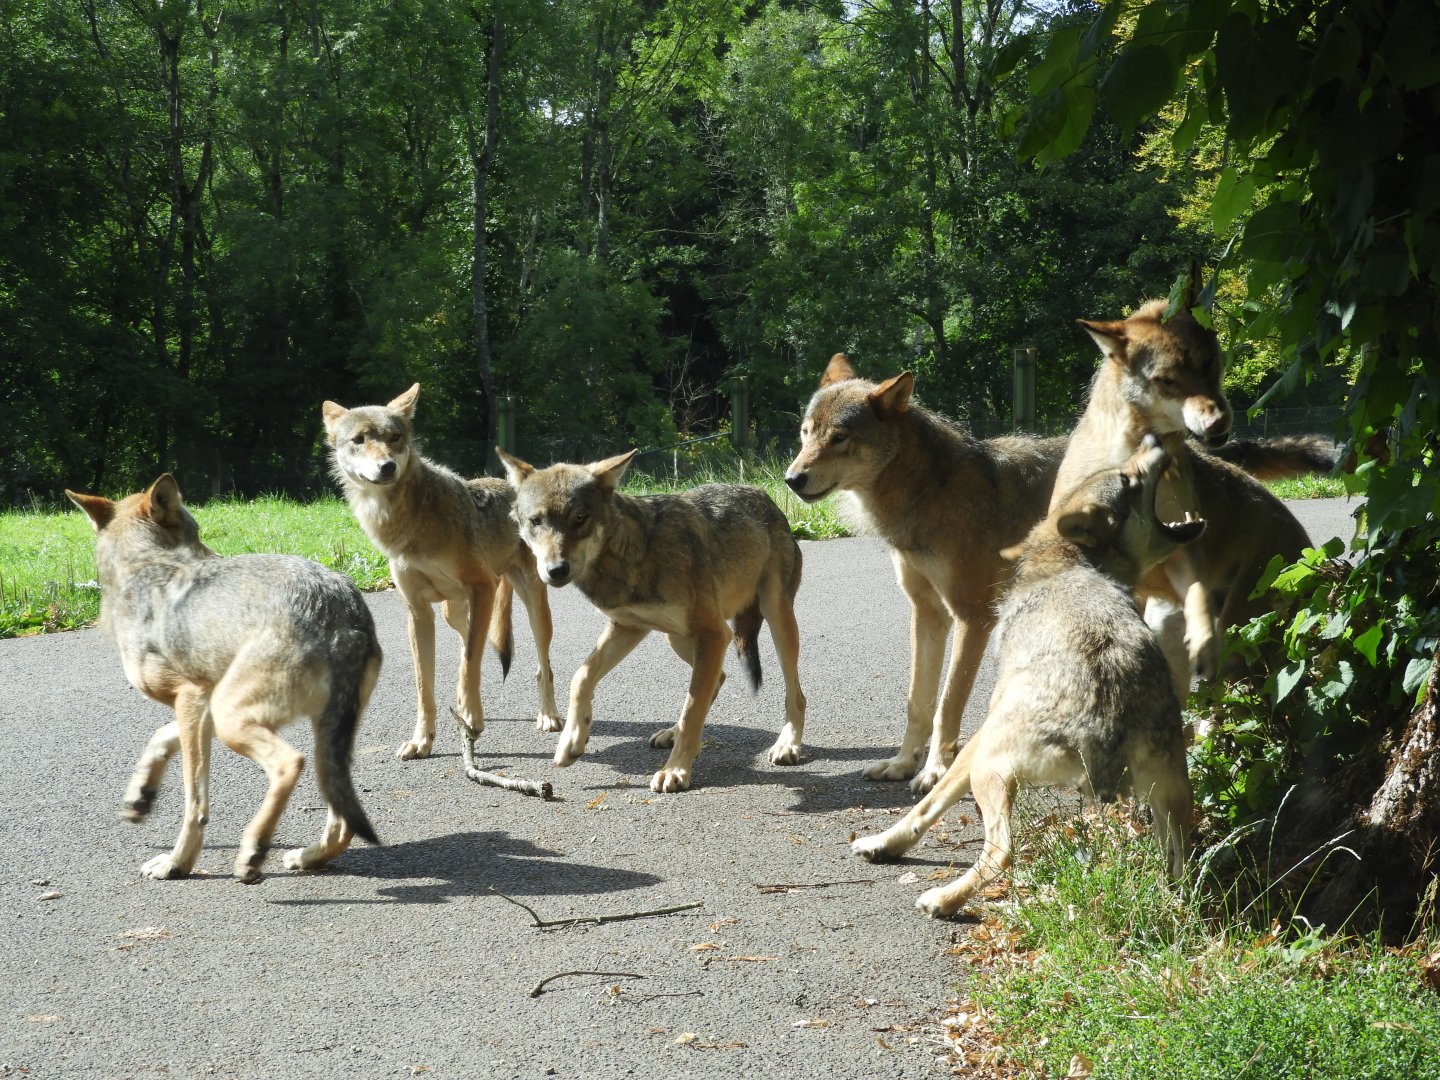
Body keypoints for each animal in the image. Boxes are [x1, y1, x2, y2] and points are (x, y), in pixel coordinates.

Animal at [66, 475, 381, 883]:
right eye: (198, 532)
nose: (216, 558)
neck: (144, 567)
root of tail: (341, 614)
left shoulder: (190, 698)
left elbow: (194, 802)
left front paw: (176, 863)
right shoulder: (202, 704)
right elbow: (160, 736)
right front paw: (141, 794)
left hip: (237, 721)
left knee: (289, 765)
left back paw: (253, 850)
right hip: (319, 738)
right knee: (342, 820)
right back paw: (308, 858)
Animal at [322, 385, 562, 773]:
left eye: (394, 437)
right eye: (359, 440)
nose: (387, 466)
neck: (411, 522)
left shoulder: (483, 586)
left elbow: (469, 665)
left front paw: (472, 719)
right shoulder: (418, 613)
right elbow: (428, 686)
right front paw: (422, 741)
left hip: (531, 606)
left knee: (541, 666)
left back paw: (548, 716)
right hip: (455, 612)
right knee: (472, 647)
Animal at [498, 448, 806, 793]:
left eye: (580, 519)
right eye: (536, 521)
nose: (556, 570)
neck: (635, 553)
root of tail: (763, 496)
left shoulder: (712, 633)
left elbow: (692, 709)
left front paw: (676, 771)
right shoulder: (628, 628)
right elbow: (581, 677)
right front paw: (571, 742)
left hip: (772, 621)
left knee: (795, 695)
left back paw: (787, 745)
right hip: (681, 637)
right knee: (719, 678)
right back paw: (671, 733)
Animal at [852, 437, 1200, 918]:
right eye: (1127, 475)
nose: (1155, 440)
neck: (1070, 562)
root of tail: (1110, 720)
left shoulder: (975, 744)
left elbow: (925, 805)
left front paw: (883, 844)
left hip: (990, 768)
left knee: (1003, 853)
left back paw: (942, 899)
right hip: (1173, 799)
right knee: (1180, 867)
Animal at [1056, 286, 1316, 691]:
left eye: (1208, 362)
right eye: (1166, 380)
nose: (1218, 422)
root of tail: (1307, 549)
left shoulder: (1184, 552)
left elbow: (1196, 599)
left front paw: (1202, 642)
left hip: (1239, 646)